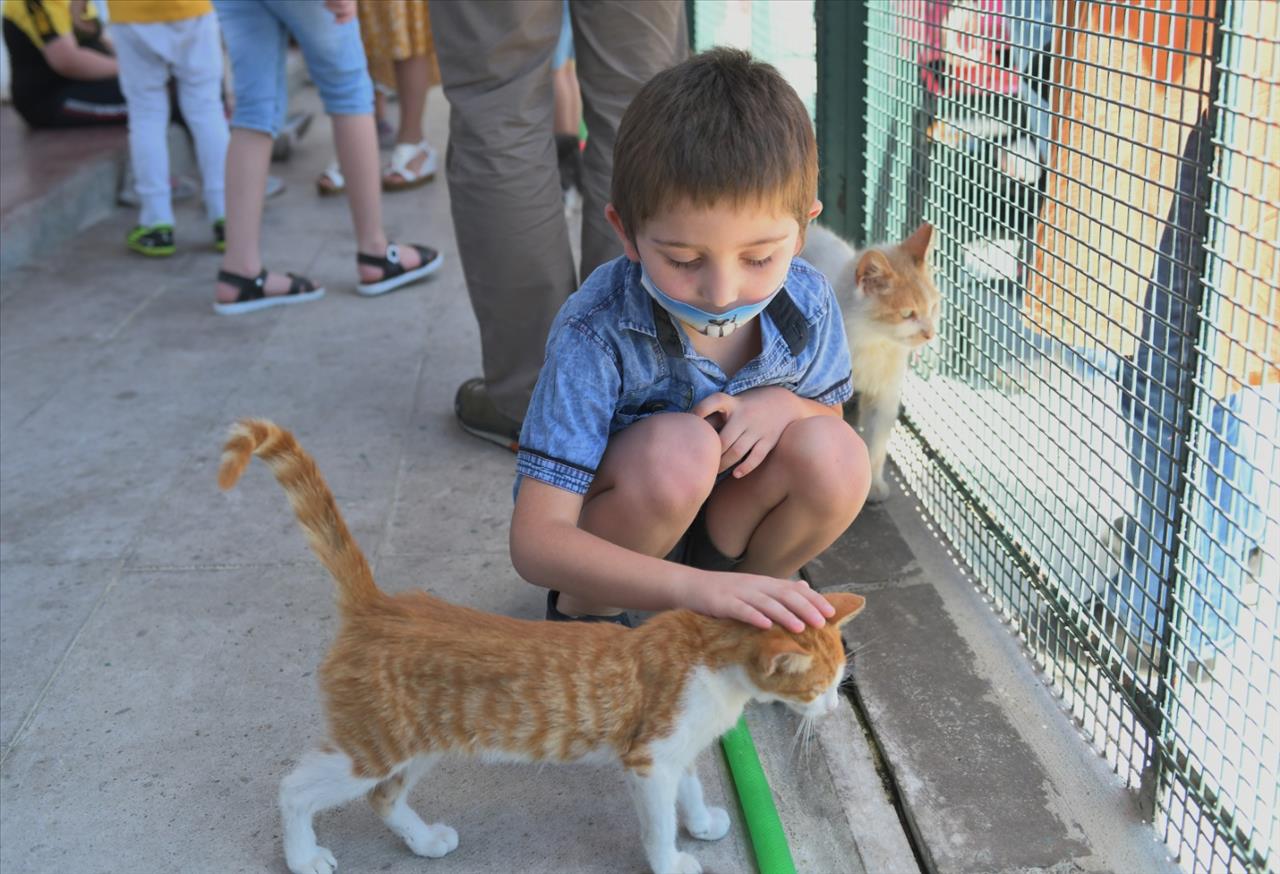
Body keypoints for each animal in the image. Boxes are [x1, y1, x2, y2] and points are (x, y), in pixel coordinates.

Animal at [217, 419, 870, 874]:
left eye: (840, 682)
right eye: (819, 686)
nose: (835, 709)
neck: (711, 658)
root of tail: (377, 603)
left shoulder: (673, 750)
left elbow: (689, 784)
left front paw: (702, 819)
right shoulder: (648, 759)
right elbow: (658, 823)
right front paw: (672, 859)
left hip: (420, 739)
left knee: (383, 797)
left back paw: (424, 840)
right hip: (374, 743)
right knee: (297, 788)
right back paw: (303, 855)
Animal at [798, 222, 942, 501]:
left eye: (932, 307)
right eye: (907, 314)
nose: (930, 334)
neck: (873, 342)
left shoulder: (885, 395)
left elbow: (875, 444)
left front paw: (873, 485)